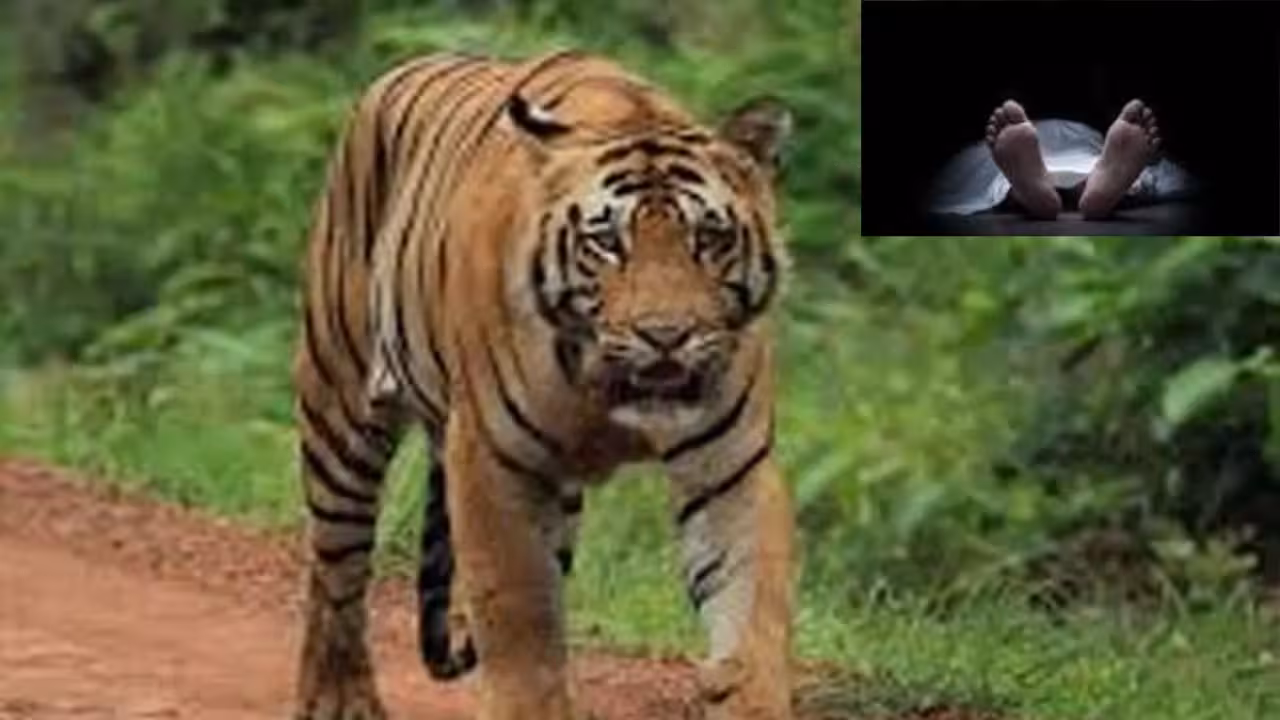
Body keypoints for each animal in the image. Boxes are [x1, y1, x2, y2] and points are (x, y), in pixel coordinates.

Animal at [292, 48, 795, 720]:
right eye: (607, 242)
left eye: (707, 238)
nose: (666, 335)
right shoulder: (493, 463)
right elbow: (521, 625)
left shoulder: (731, 467)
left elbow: (751, 614)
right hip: (339, 406)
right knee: (335, 570)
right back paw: (338, 698)